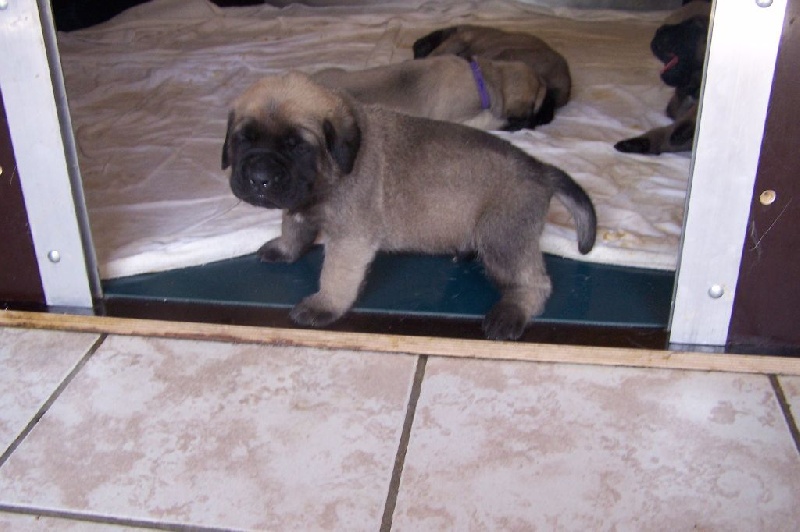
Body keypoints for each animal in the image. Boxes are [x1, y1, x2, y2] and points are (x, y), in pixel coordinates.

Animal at [222, 72, 597, 340]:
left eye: (297, 145)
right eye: (243, 139)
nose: (259, 178)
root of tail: (540, 169)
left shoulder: (350, 239)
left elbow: (336, 275)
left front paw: (324, 305)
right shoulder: (298, 208)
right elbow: (294, 229)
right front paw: (285, 249)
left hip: (503, 239)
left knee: (534, 284)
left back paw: (511, 313)